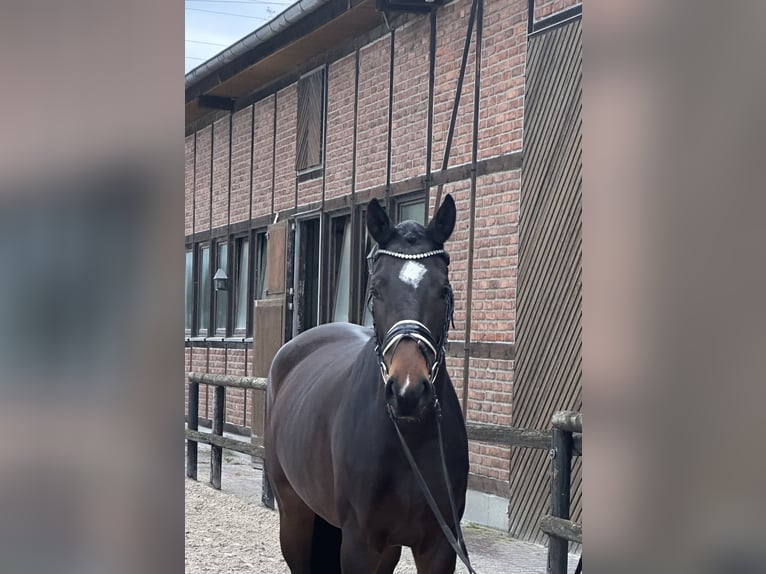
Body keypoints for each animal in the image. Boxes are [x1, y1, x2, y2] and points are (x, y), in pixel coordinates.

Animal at [264, 196, 472, 572]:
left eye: (444, 290)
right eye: (375, 290)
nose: (408, 392)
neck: (409, 439)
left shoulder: (439, 547)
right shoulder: (358, 544)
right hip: (294, 515)